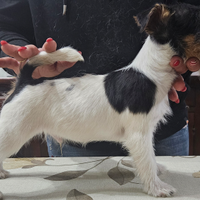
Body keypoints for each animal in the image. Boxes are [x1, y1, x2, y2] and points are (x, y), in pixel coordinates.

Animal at [0, 2, 198, 198]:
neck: (150, 73)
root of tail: (24, 83)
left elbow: (150, 157)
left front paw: (157, 172)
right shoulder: (139, 135)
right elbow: (147, 161)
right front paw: (157, 188)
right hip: (12, 132)